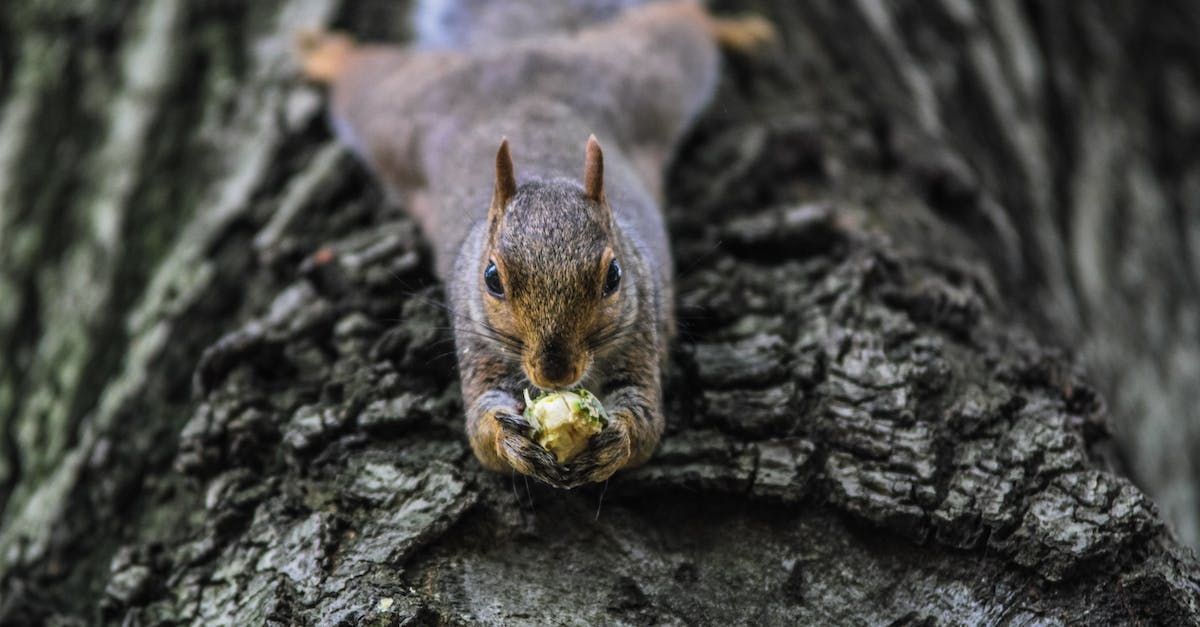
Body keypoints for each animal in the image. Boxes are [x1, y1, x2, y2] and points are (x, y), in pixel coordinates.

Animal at [298, 0, 773, 488]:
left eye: (614, 277)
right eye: (492, 278)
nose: (554, 373)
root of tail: (517, 49)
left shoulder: (640, 331)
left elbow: (646, 422)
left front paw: (616, 440)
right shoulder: (478, 345)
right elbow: (481, 429)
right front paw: (508, 439)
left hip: (649, 74)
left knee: (679, 25)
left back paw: (733, 26)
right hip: (398, 112)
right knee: (364, 77)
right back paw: (327, 54)